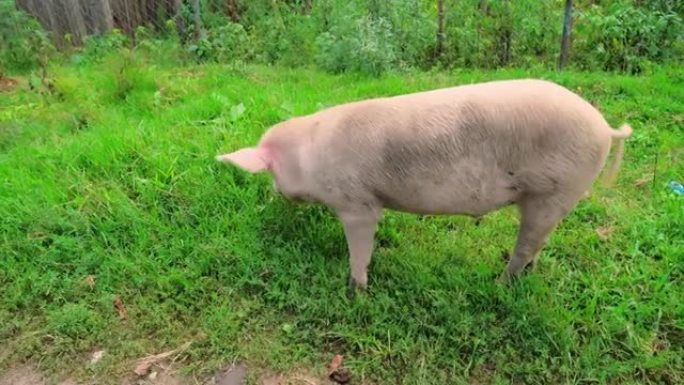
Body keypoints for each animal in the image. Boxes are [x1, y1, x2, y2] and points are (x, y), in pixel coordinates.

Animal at [216, 78, 632, 294]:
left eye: (271, 172)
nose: (276, 195)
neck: (311, 157)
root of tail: (604, 126)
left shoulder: (357, 203)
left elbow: (360, 246)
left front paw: (356, 290)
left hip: (557, 190)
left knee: (527, 244)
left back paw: (499, 283)